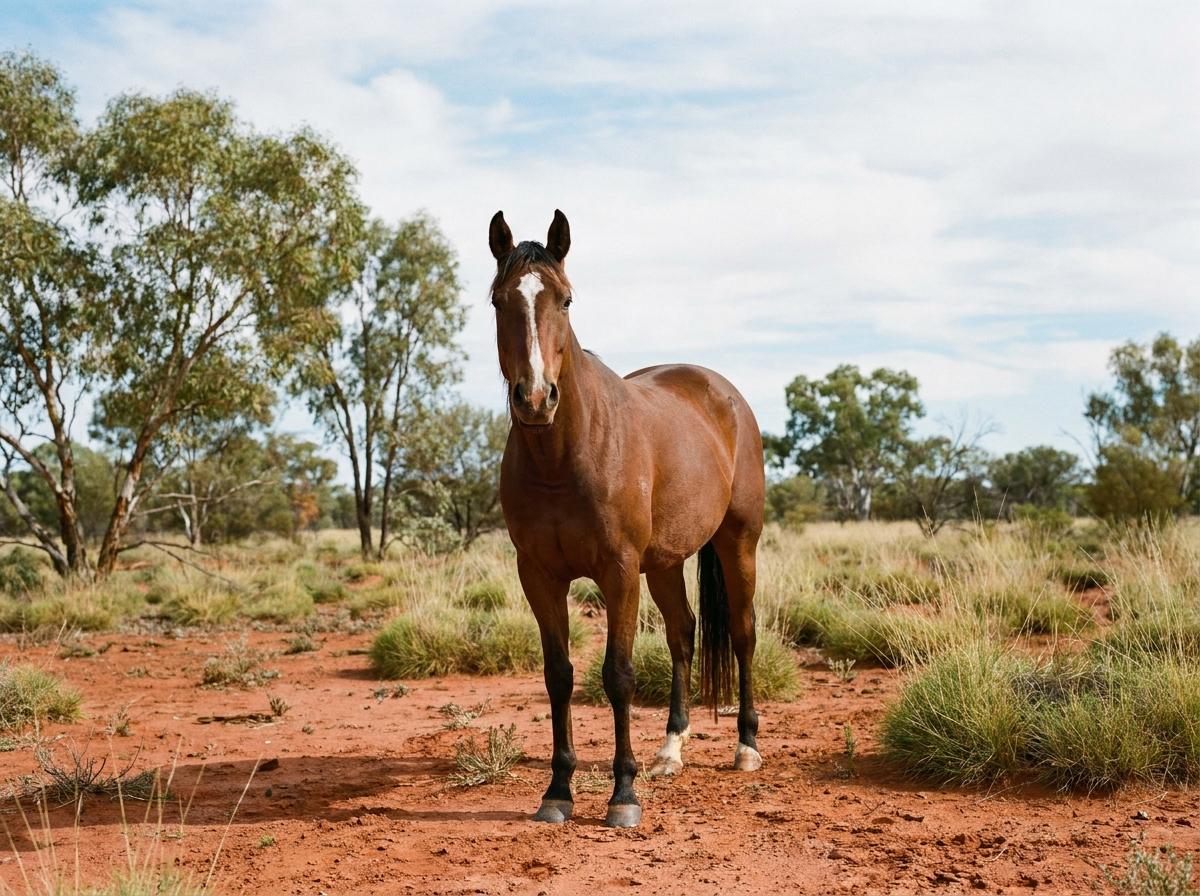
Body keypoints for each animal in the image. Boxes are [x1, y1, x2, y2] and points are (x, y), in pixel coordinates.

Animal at [489, 209, 766, 828]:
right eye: (498, 299)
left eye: (566, 299)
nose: (535, 398)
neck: (562, 458)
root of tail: (725, 394)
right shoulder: (538, 575)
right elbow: (559, 676)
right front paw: (558, 791)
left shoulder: (617, 571)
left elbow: (617, 675)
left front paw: (623, 794)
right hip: (663, 563)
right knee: (684, 634)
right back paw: (670, 751)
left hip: (738, 543)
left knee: (742, 632)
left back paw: (746, 746)